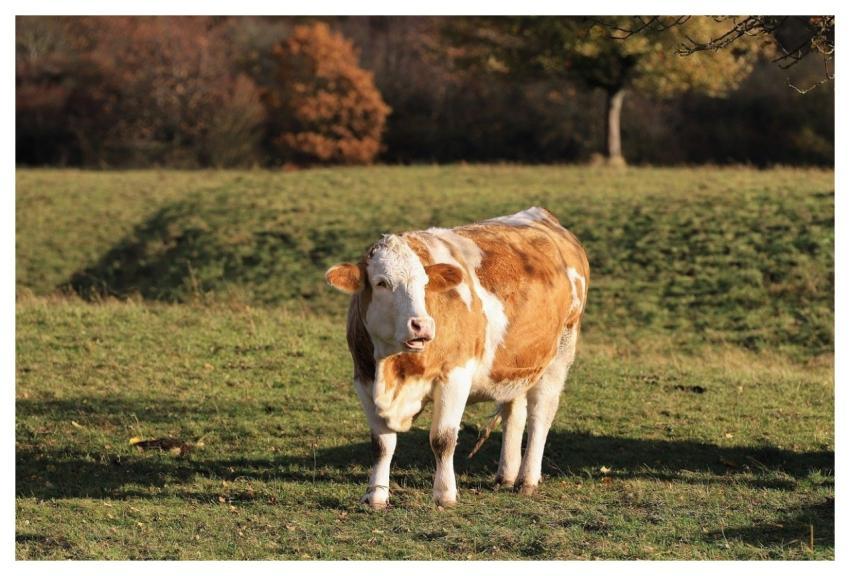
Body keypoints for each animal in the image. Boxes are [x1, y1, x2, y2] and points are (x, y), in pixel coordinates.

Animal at [325, 207, 589, 508]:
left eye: (425, 283)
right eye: (381, 283)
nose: (422, 325)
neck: (393, 368)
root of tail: (543, 216)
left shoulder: (455, 376)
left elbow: (443, 439)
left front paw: (444, 494)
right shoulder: (363, 378)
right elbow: (382, 444)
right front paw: (376, 495)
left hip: (560, 354)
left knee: (540, 416)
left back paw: (528, 479)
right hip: (516, 363)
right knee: (514, 413)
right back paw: (506, 475)